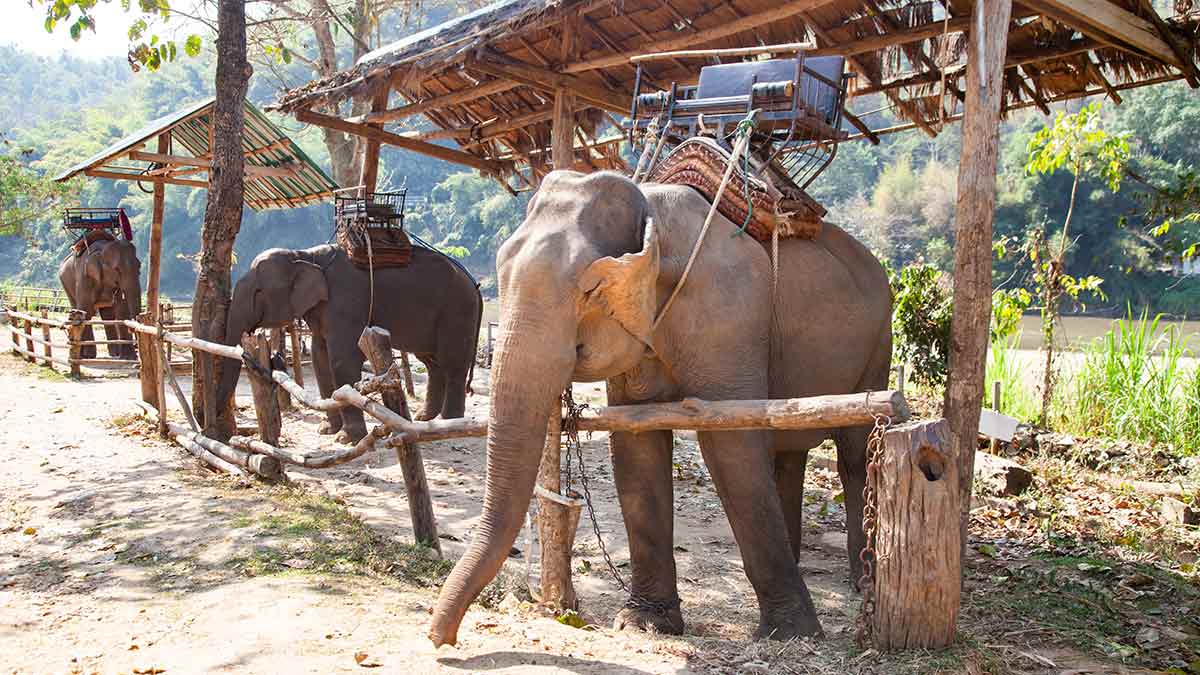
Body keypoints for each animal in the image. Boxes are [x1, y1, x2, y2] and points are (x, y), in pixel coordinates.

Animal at [218, 241, 480, 441]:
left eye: (259, 291)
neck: (305, 255)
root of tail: (474, 284)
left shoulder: (345, 304)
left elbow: (342, 360)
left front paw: (346, 438)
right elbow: (320, 359)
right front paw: (326, 430)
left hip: (457, 311)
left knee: (452, 363)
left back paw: (450, 422)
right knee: (432, 362)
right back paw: (425, 419)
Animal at [429, 170, 892, 643]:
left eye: (591, 288)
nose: (439, 638)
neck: (651, 207)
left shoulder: (727, 314)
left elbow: (732, 444)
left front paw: (791, 633)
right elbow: (636, 443)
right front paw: (645, 622)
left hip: (879, 344)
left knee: (854, 453)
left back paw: (861, 580)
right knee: (788, 452)